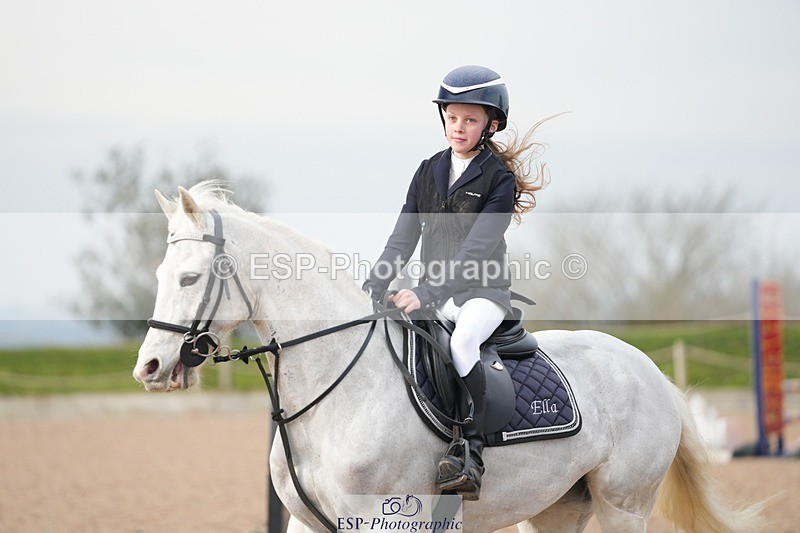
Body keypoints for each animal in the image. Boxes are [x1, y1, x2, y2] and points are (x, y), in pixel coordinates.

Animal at [134, 181, 765, 532]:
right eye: (162, 275)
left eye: (189, 278)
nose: (149, 369)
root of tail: (646, 368)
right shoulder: (305, 524)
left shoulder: (382, 520)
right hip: (557, 507)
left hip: (623, 506)